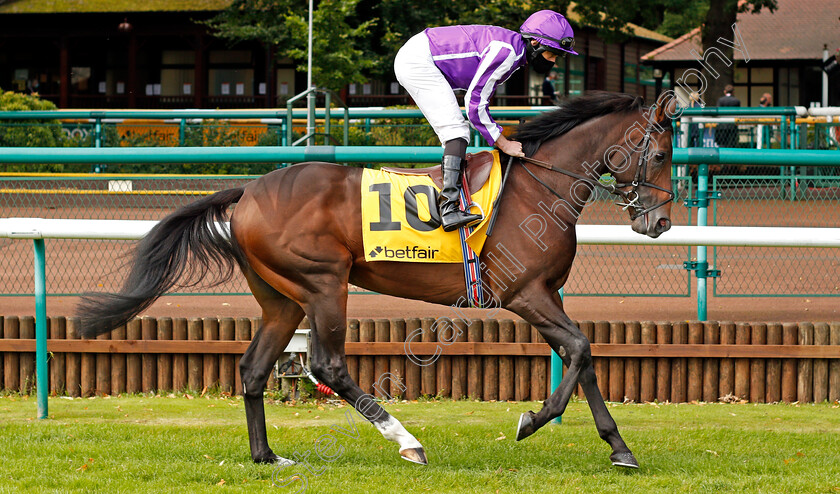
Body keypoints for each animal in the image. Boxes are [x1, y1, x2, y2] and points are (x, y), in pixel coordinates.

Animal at [79, 90, 680, 468]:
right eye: (660, 152)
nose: (659, 222)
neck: (537, 187)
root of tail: (249, 191)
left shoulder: (548, 293)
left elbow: (586, 358)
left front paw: (619, 448)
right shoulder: (524, 293)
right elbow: (578, 350)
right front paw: (531, 420)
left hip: (283, 299)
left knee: (253, 368)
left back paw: (267, 455)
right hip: (324, 283)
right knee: (326, 365)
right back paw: (407, 441)